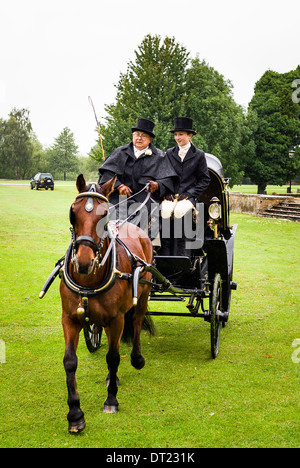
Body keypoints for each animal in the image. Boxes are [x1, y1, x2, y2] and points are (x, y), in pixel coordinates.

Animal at [59, 174, 154, 434]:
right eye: (73, 212)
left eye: (105, 215)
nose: (84, 262)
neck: (88, 281)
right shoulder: (69, 318)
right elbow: (69, 362)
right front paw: (75, 414)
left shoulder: (116, 319)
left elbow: (113, 358)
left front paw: (111, 400)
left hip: (143, 294)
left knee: (137, 321)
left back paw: (136, 358)